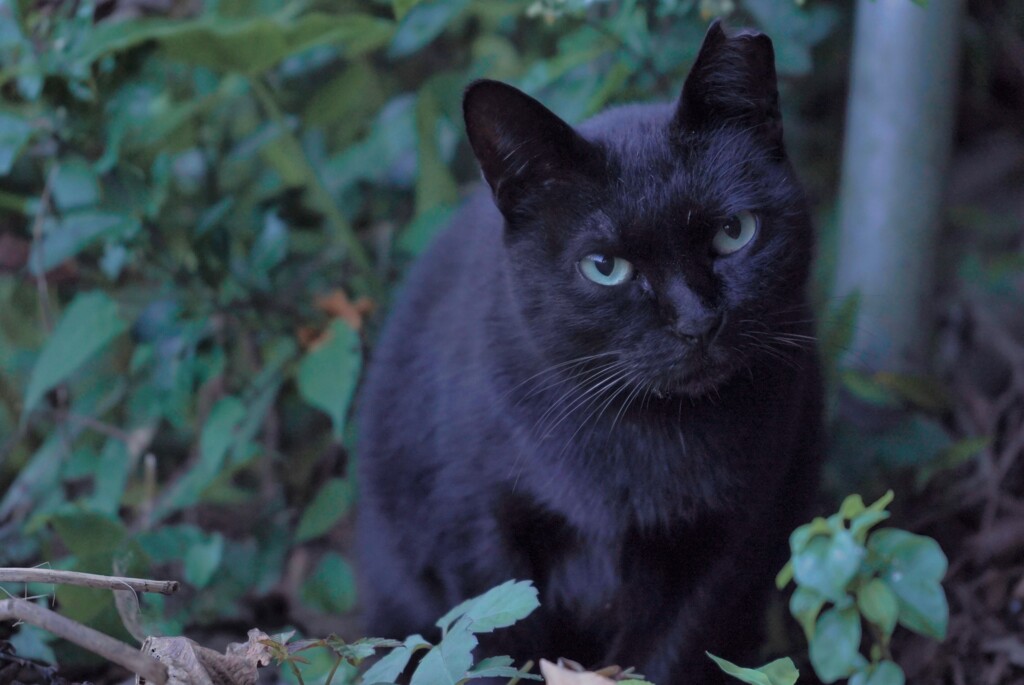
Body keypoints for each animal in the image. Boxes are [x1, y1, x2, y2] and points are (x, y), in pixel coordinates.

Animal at [358, 21, 823, 683]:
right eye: (605, 267)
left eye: (734, 232)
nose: (697, 322)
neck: (642, 443)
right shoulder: (476, 532)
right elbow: (493, 643)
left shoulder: (727, 541)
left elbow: (668, 654)